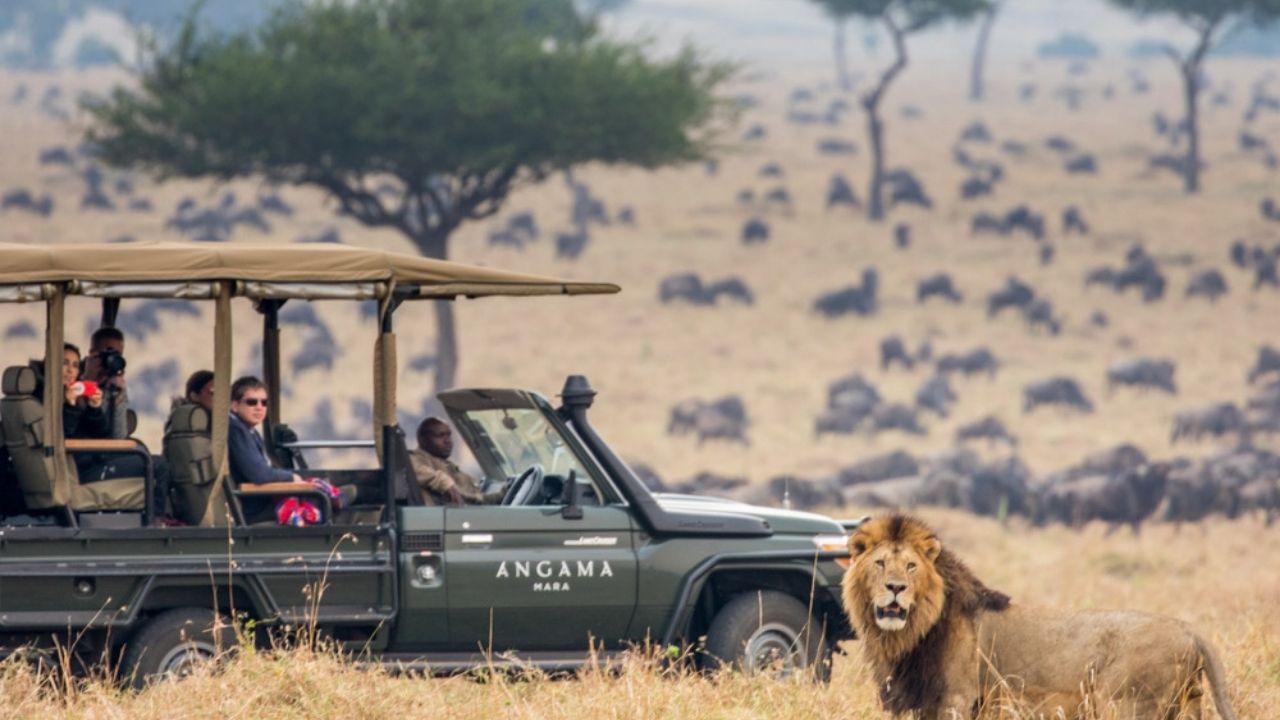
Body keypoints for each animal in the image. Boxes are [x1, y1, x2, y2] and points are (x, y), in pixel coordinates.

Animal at [840, 514, 1237, 719]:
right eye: (880, 563)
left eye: (910, 566)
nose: (895, 588)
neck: (909, 634)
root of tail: (1189, 629)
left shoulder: (956, 701)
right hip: (1187, 705)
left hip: (1125, 704)